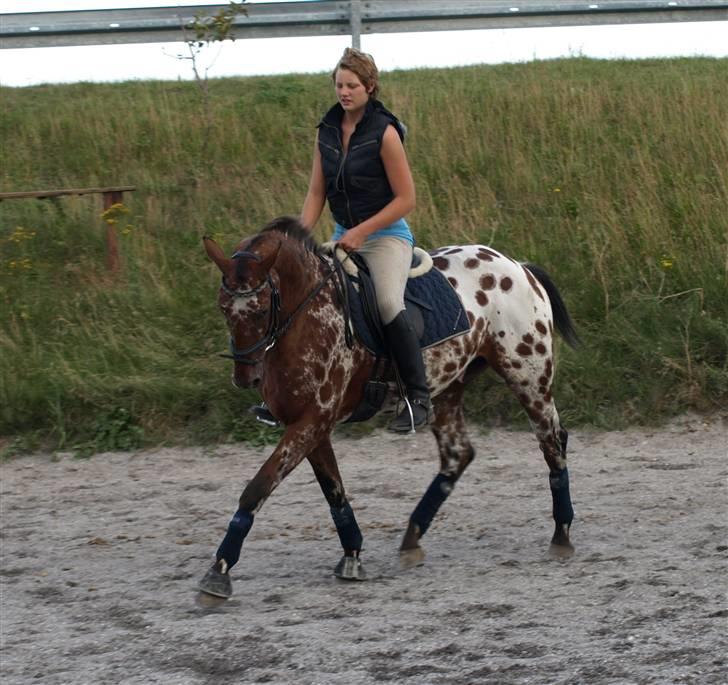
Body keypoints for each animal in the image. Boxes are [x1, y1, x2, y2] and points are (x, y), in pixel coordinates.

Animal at [199, 215, 580, 600]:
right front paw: (352, 554)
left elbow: (257, 488)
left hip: (528, 377)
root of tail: (518, 266)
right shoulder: (310, 424)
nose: (246, 376)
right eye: (222, 308)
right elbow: (333, 490)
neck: (307, 314)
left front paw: (219, 571)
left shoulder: (313, 421)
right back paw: (412, 536)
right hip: (447, 388)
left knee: (552, 440)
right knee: (458, 454)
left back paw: (561, 534)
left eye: (262, 309)